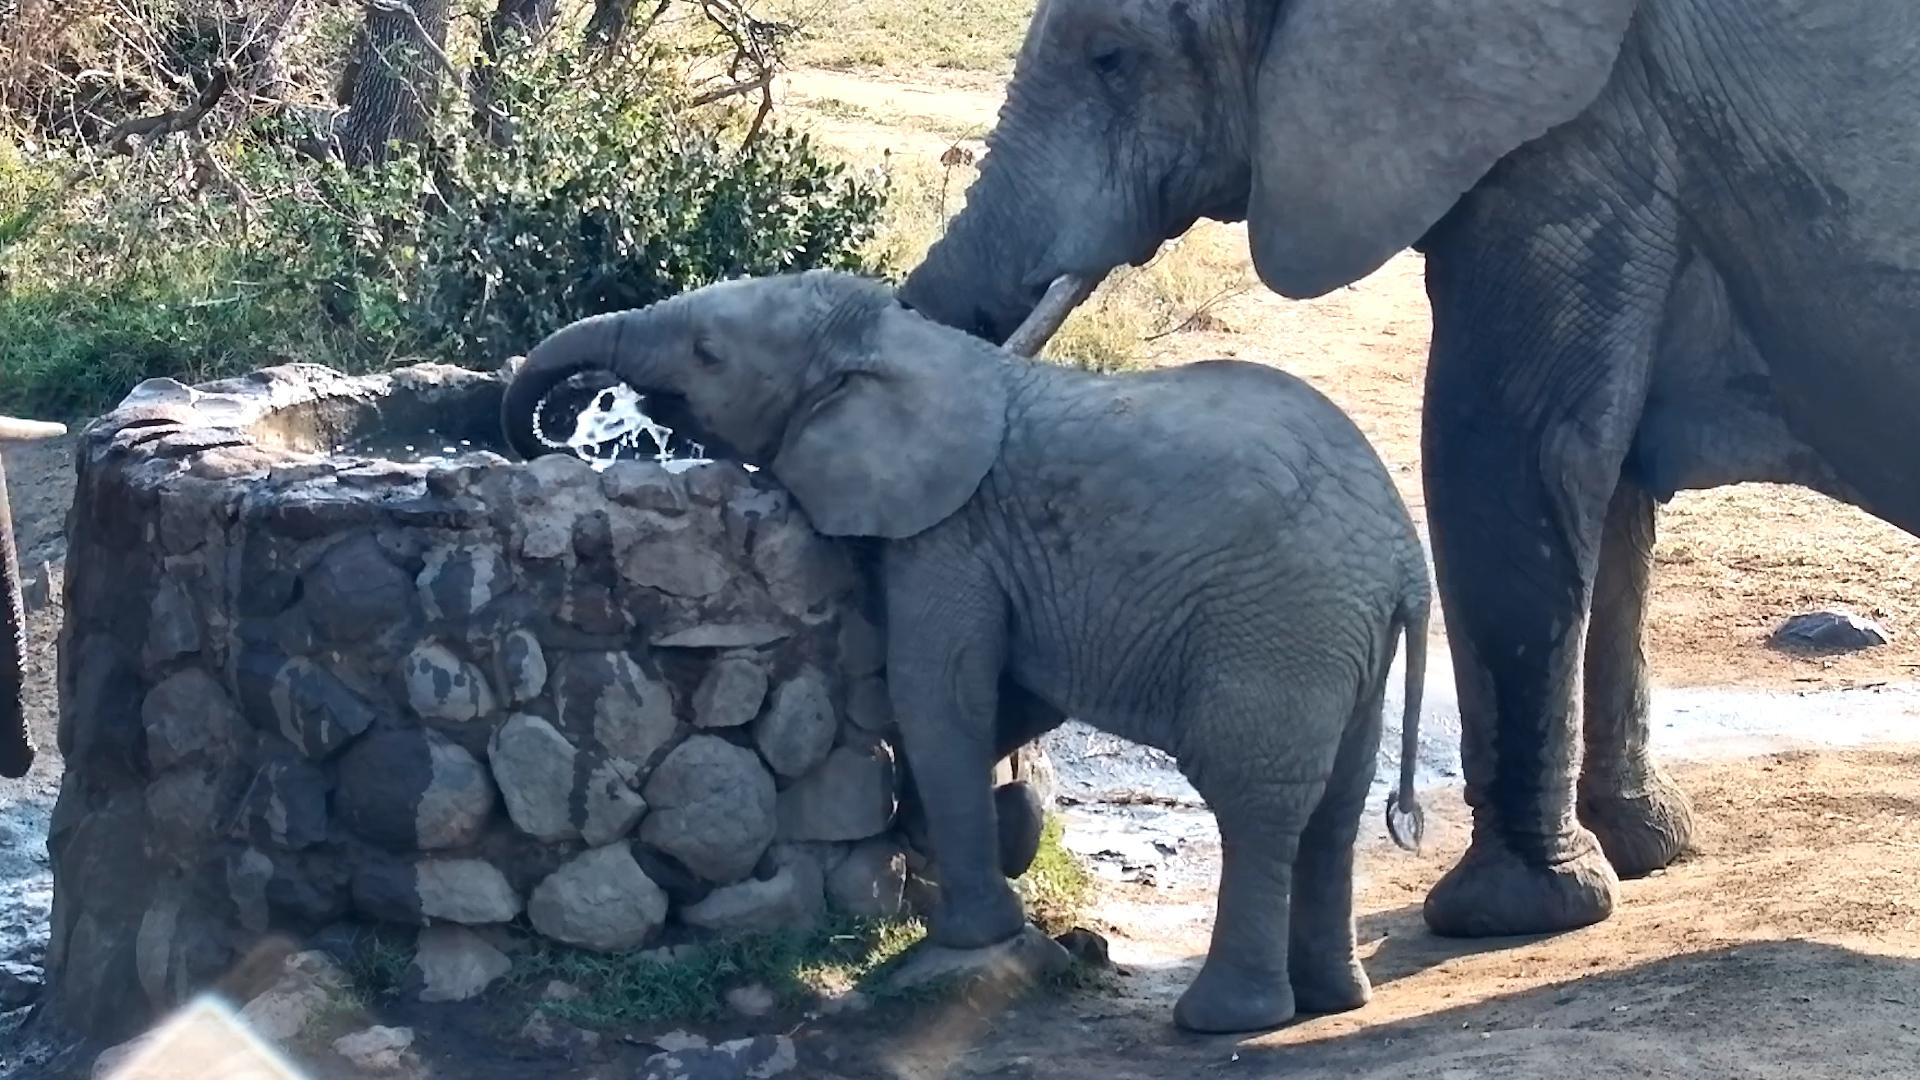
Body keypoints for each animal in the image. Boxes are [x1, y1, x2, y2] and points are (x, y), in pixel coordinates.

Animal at [499, 269, 1432, 1034]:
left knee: (1256, 802)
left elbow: (938, 691)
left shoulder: (950, 533)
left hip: (1279, 630)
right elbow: (1008, 700)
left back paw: (1223, 1021)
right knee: (1336, 804)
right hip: (1341, 641)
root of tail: (1405, 559)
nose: (562, 424)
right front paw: (985, 832)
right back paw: (1332, 1001)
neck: (912, 345)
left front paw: (968, 931)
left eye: (707, 353)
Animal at [894, 0, 1920, 940]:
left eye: (1112, 58)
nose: (1011, 814)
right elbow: (1606, 478)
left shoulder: (1572, 134)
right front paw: (1644, 849)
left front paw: (1506, 912)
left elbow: (1502, 451)